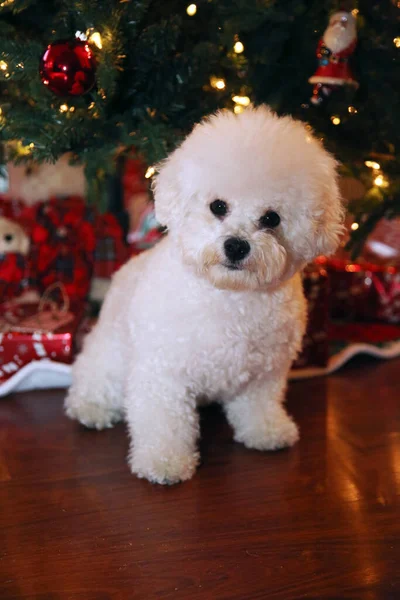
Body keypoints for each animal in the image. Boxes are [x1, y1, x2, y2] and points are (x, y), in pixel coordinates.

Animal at [64, 105, 342, 486]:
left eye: (271, 218)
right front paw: (164, 462)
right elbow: (164, 424)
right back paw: (90, 407)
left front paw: (266, 431)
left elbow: (259, 405)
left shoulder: (265, 372)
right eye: (218, 206)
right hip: (111, 356)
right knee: (93, 378)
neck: (231, 297)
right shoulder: (163, 374)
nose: (236, 245)